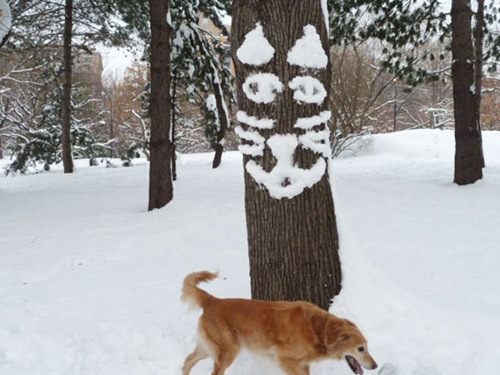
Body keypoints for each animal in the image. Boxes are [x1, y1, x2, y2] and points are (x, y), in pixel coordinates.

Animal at [182, 272, 376, 374]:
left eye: (367, 347)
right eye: (361, 349)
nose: (375, 366)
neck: (318, 331)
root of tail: (213, 300)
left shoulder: (303, 363)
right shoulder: (285, 360)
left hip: (211, 348)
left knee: (188, 359)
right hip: (228, 351)